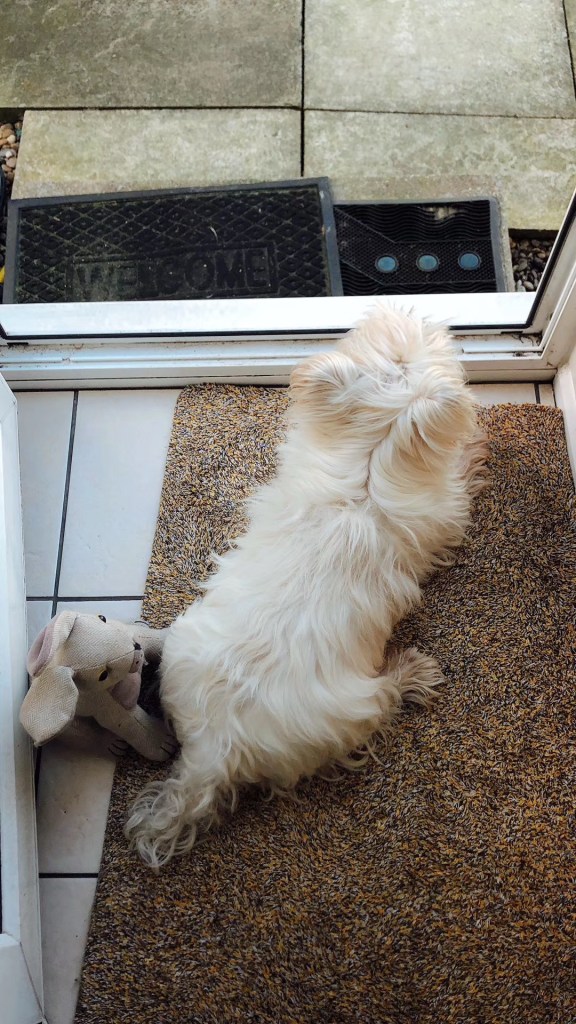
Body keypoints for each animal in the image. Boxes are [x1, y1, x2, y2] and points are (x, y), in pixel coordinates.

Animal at [126, 306, 488, 868]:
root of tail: (217, 745)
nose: (414, 314)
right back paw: (413, 672)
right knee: (383, 700)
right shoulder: (444, 516)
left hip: (186, 646)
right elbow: (460, 479)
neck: (365, 470)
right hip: (349, 709)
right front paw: (474, 446)